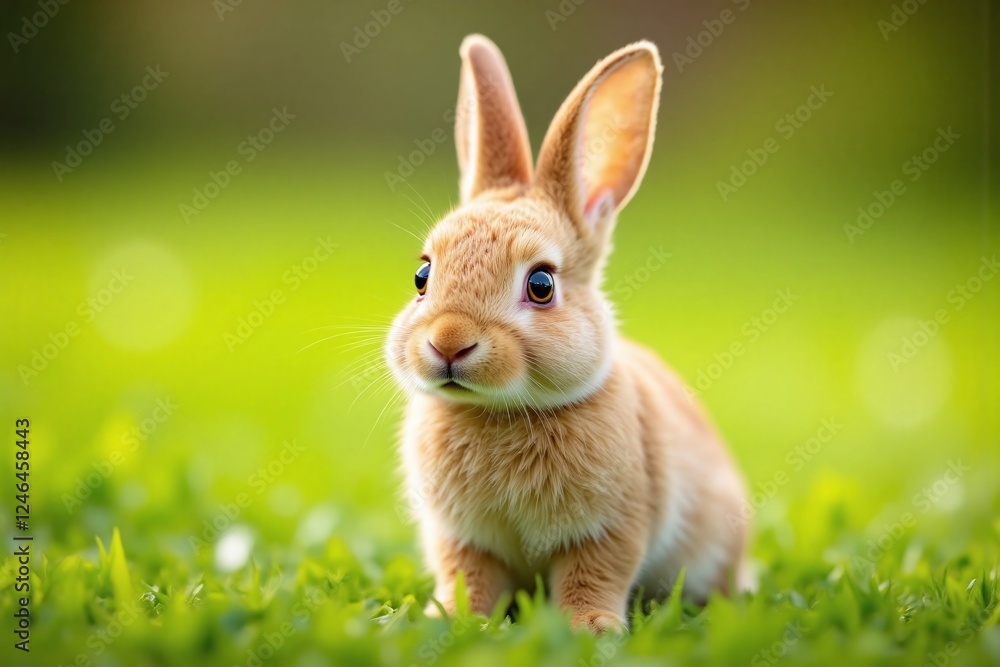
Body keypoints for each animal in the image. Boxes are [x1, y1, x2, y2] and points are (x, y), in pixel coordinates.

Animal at [385, 34, 752, 632]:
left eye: (541, 284)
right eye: (422, 276)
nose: (448, 343)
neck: (501, 412)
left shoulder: (609, 529)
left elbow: (593, 578)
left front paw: (592, 628)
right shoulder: (461, 539)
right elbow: (469, 578)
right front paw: (451, 618)